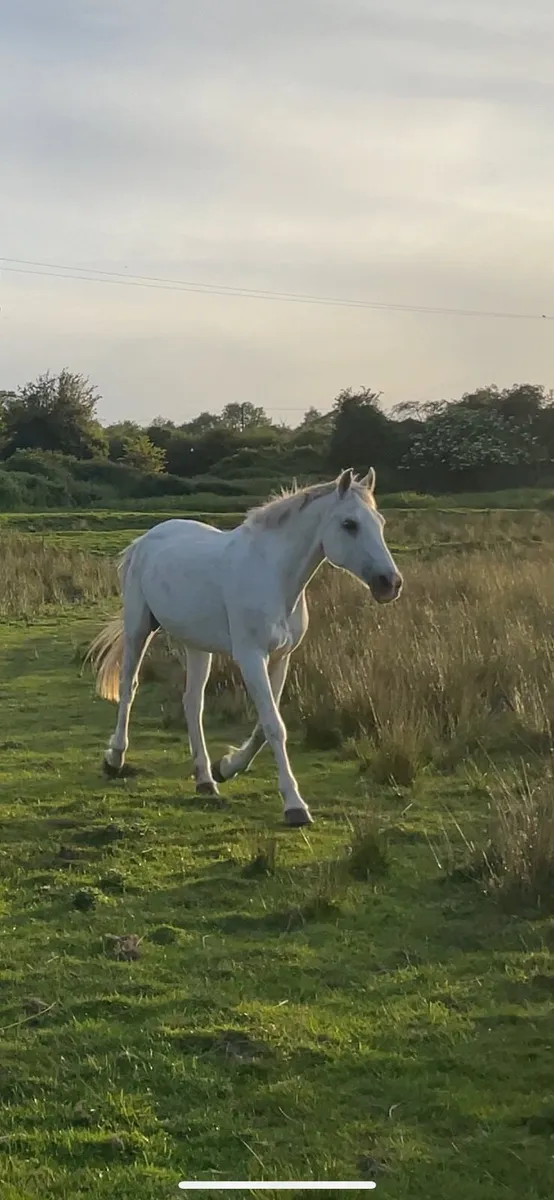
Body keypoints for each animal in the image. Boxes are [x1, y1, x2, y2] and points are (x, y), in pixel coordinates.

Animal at [85, 468, 402, 827]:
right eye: (350, 524)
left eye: (380, 522)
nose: (390, 583)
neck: (273, 577)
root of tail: (144, 540)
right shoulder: (251, 658)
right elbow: (274, 726)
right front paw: (294, 806)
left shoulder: (280, 658)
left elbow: (266, 726)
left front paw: (227, 767)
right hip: (138, 629)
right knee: (129, 688)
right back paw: (115, 759)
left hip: (197, 646)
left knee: (192, 703)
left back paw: (205, 779)